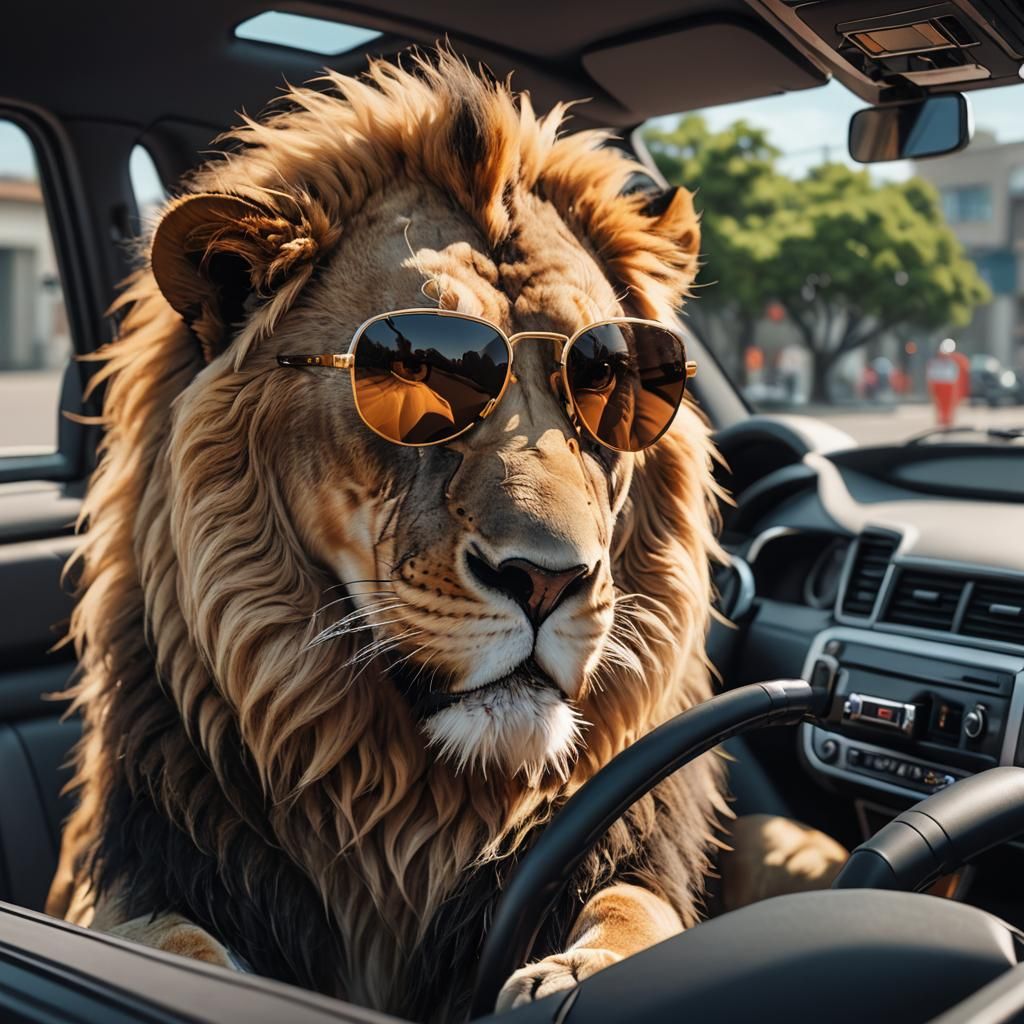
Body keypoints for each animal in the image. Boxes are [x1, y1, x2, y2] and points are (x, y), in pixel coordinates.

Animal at [47, 49, 845, 1021]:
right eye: (415, 368)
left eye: (612, 378)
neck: (411, 821)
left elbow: (636, 908)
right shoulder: (128, 874)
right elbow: (165, 938)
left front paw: (577, 972)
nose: (549, 580)